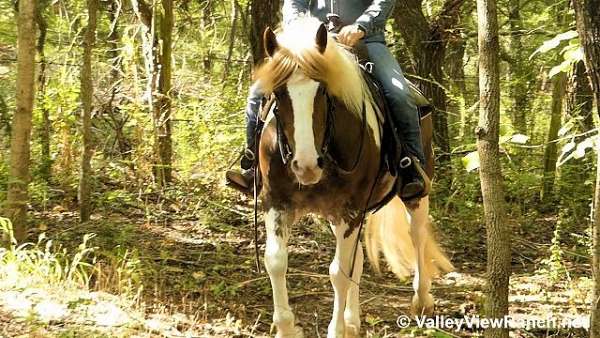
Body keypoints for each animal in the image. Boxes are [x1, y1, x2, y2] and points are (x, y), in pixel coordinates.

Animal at [251, 17, 452, 336]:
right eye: (278, 94)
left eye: (323, 91)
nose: (306, 166)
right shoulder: (277, 202)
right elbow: (276, 261)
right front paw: (287, 327)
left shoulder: (351, 210)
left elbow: (339, 272)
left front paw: (336, 329)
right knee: (357, 260)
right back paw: (353, 320)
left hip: (415, 194)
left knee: (417, 235)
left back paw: (421, 300)